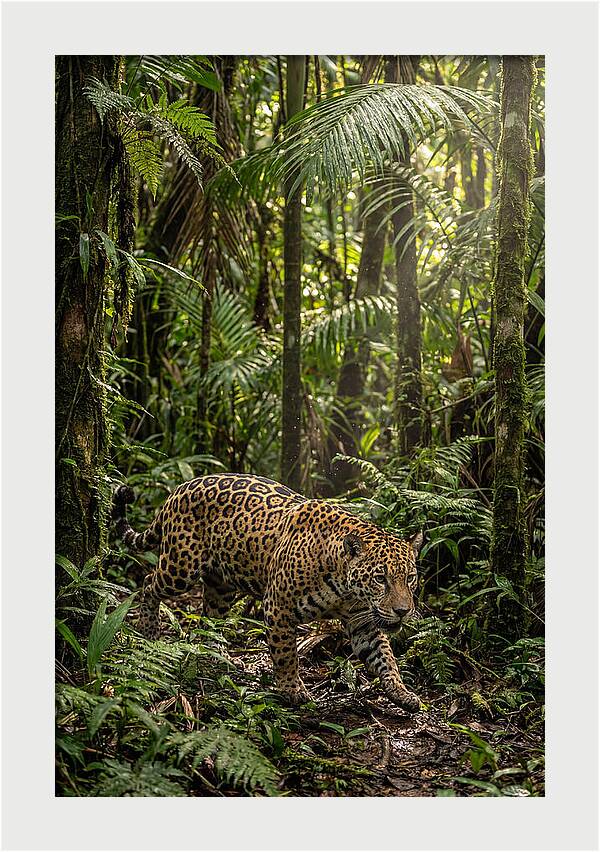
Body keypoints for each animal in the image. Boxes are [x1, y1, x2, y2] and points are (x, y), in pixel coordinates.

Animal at [113, 473, 424, 712]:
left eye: (410, 578)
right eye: (381, 578)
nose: (403, 611)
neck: (344, 587)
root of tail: (179, 488)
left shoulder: (363, 623)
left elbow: (384, 657)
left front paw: (402, 693)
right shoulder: (278, 608)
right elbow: (286, 654)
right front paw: (293, 691)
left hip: (221, 586)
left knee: (210, 616)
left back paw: (216, 653)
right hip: (180, 567)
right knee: (148, 583)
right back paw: (149, 629)